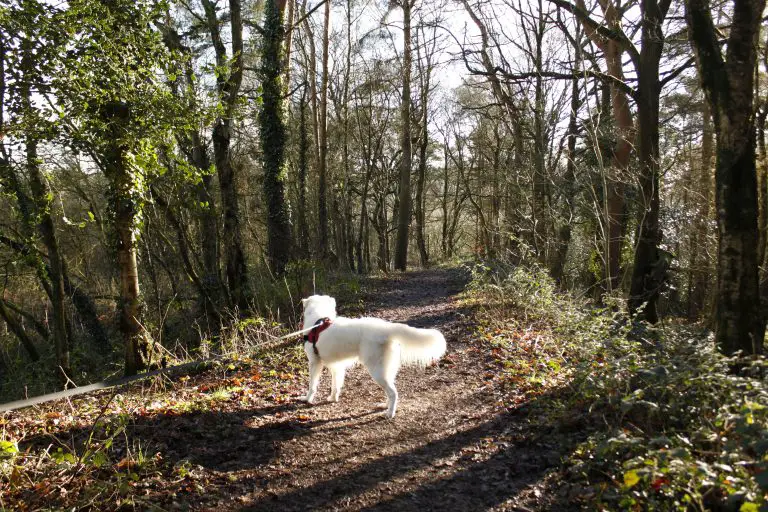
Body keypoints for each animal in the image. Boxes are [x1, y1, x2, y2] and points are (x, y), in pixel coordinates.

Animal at [298, 294, 448, 418]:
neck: (318, 321)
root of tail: (386, 328)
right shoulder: (337, 367)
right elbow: (336, 385)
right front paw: (333, 398)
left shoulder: (314, 363)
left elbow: (312, 385)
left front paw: (307, 399)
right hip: (386, 370)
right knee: (391, 391)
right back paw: (385, 406)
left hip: (377, 371)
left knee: (393, 392)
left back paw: (390, 413)